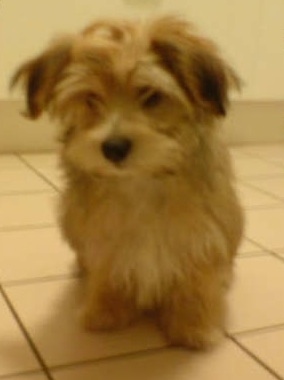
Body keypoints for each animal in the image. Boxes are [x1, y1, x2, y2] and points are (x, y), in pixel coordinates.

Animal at [12, 17, 244, 350]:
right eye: (91, 98)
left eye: (151, 96)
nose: (113, 148)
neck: (140, 180)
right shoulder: (104, 233)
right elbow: (110, 269)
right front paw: (106, 310)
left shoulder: (199, 234)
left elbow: (194, 277)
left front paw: (192, 325)